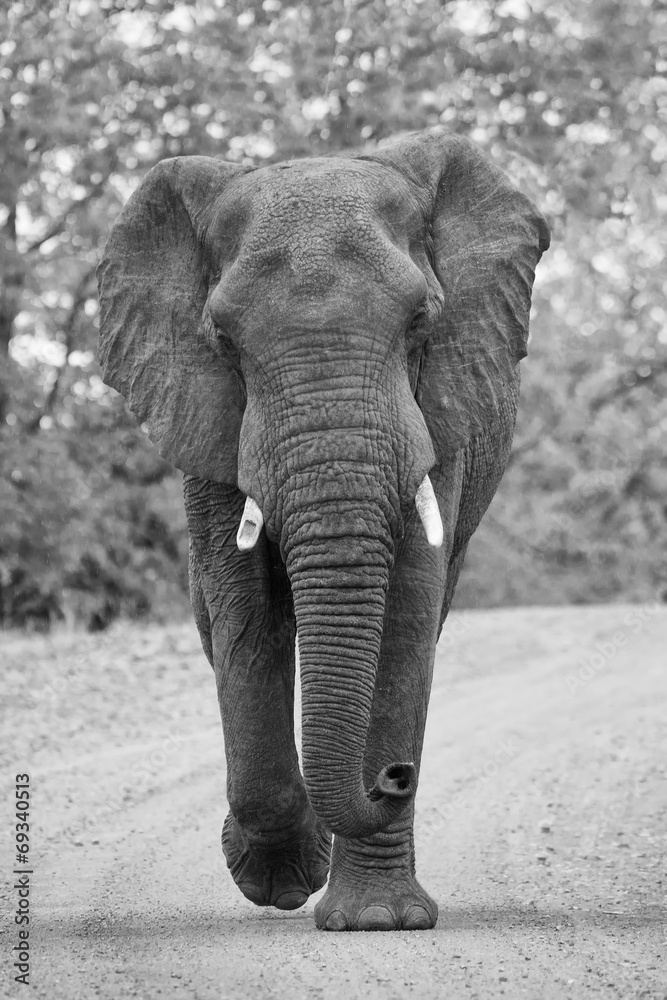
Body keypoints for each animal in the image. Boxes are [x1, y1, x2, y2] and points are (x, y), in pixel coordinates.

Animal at [97, 127, 550, 931]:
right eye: (221, 339)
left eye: (421, 322)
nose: (395, 777)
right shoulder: (209, 418)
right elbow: (245, 611)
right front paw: (283, 878)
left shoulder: (441, 411)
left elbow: (406, 608)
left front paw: (379, 922)